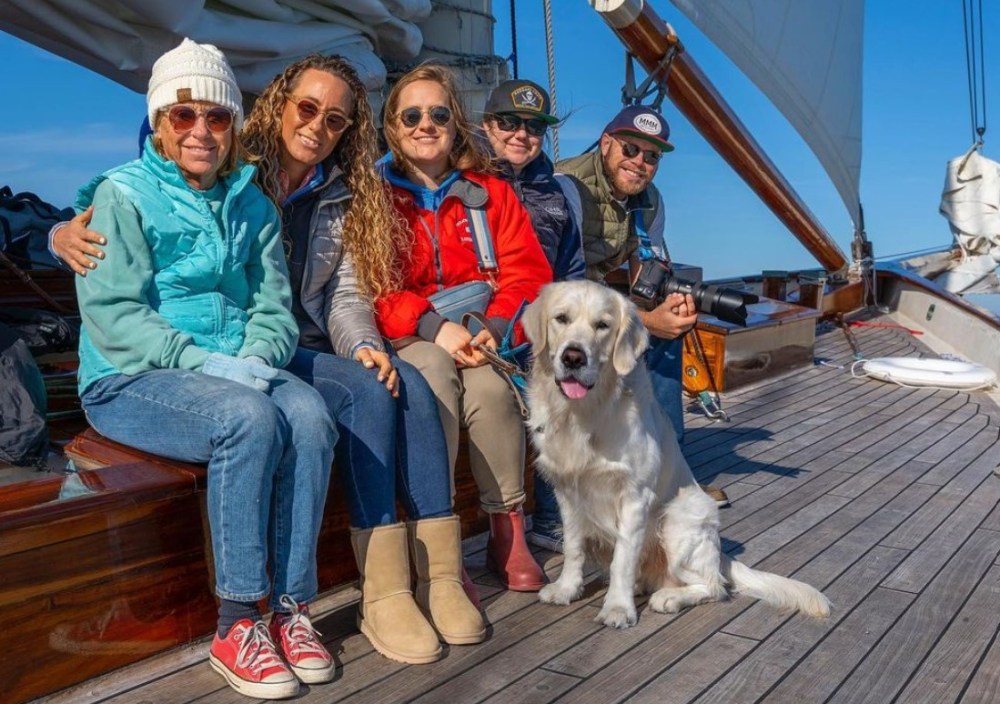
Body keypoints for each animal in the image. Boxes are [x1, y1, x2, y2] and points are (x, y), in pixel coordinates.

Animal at [520, 280, 832, 628]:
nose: (573, 357)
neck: (585, 412)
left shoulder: (634, 497)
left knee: (714, 586)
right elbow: (573, 547)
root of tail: (720, 554)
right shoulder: (567, 491)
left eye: (602, 325)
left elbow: (622, 559)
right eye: (561, 319)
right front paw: (566, 589)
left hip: (677, 520)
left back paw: (669, 597)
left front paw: (618, 608)